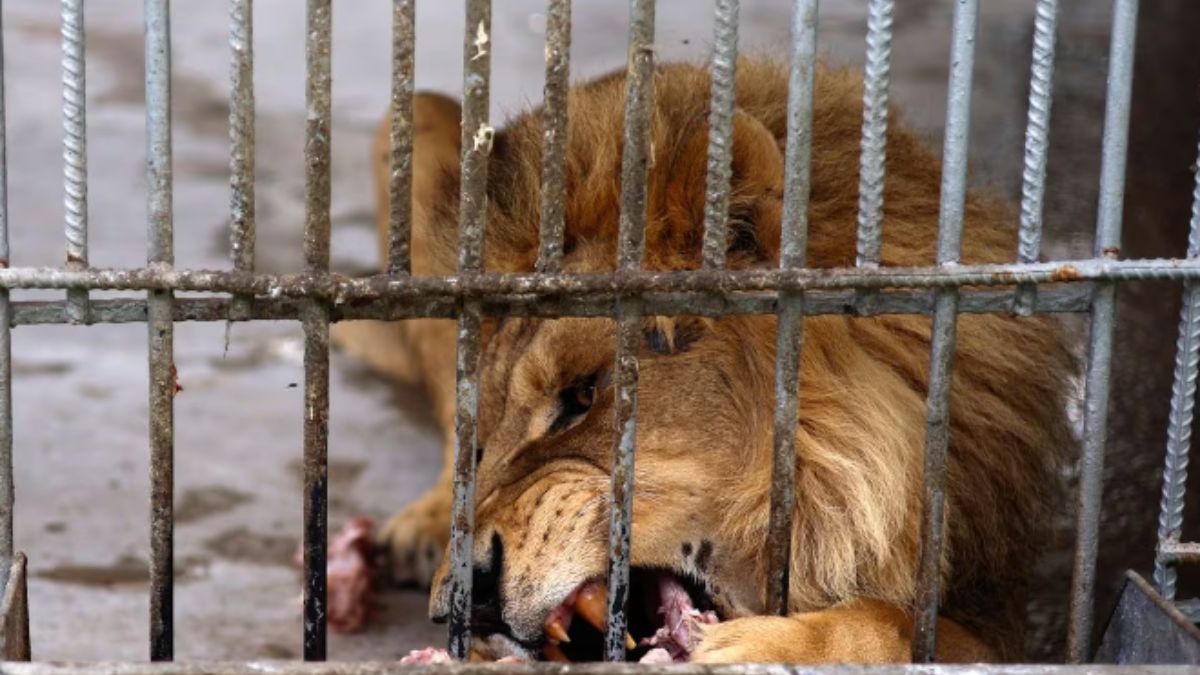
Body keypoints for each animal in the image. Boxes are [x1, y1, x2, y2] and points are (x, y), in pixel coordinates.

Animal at [333, 59, 1076, 663]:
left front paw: (766, 646)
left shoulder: (993, 604)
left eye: (583, 395)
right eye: (485, 437)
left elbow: (896, 624)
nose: (465, 598)